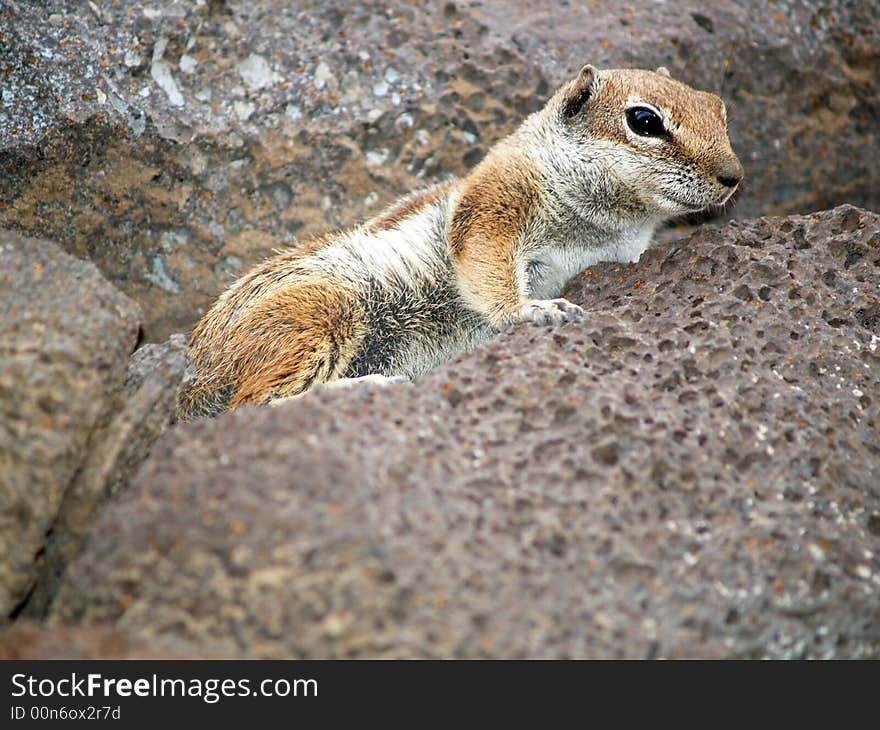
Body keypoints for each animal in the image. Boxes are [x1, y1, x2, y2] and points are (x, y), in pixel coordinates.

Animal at [179, 65, 744, 418]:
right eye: (644, 121)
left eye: (720, 109)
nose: (734, 177)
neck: (604, 224)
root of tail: (194, 377)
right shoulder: (497, 198)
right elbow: (485, 261)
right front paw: (532, 310)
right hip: (316, 310)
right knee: (248, 407)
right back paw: (367, 385)